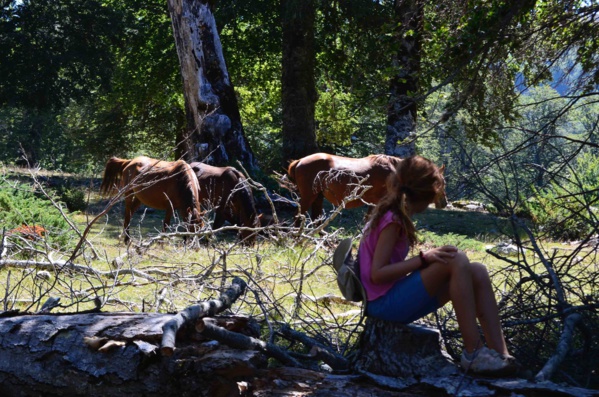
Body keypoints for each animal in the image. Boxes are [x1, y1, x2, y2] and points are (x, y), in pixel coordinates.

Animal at [288, 152, 448, 220]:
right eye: (442, 183)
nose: (445, 202)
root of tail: (299, 161)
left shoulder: (373, 203)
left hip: (318, 197)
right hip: (309, 196)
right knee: (299, 216)